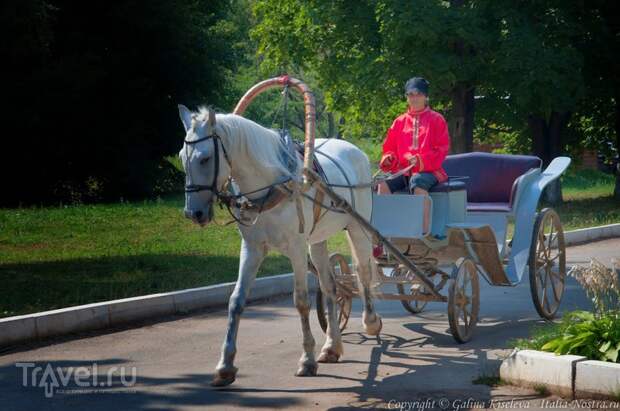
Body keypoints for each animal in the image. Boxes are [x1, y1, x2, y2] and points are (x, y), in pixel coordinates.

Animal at [177, 105, 382, 386]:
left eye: (205, 159)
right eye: (180, 157)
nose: (193, 213)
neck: (270, 185)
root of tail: (355, 150)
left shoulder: (296, 247)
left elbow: (301, 301)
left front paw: (306, 360)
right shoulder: (252, 248)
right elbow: (236, 300)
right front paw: (225, 365)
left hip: (357, 228)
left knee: (362, 273)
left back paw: (370, 322)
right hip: (317, 241)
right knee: (330, 287)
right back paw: (331, 347)